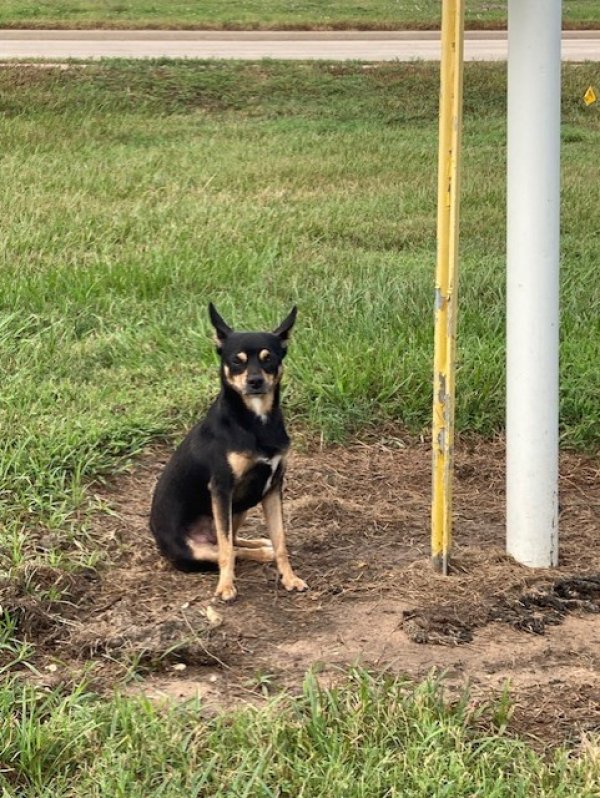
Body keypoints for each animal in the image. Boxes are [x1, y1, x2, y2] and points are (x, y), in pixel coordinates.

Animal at [149, 304, 308, 604]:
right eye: (237, 360)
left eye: (269, 359)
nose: (255, 381)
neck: (255, 421)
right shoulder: (221, 488)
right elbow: (226, 552)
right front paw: (225, 587)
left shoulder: (273, 487)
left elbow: (280, 540)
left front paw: (290, 578)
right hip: (198, 544)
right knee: (226, 548)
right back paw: (259, 552)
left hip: (241, 505)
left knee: (233, 540)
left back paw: (260, 544)